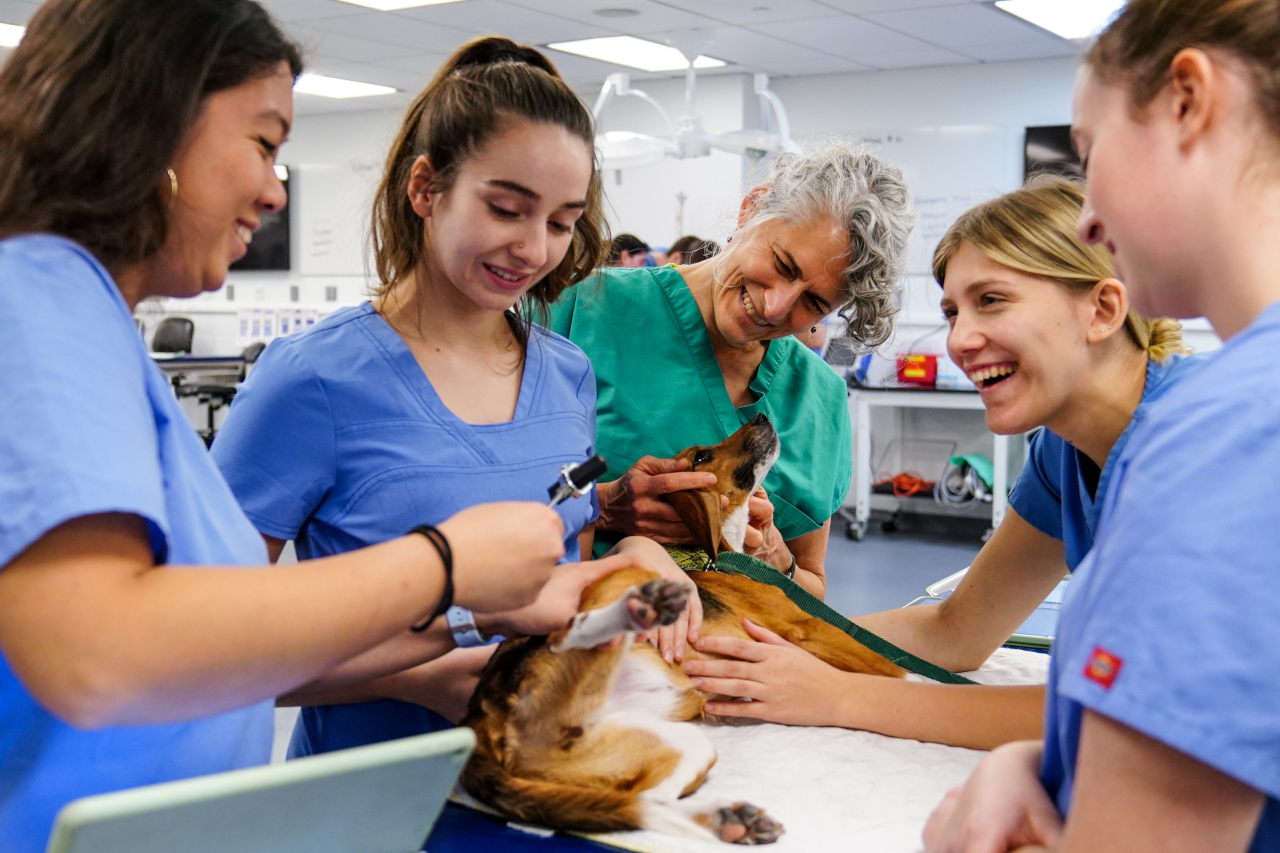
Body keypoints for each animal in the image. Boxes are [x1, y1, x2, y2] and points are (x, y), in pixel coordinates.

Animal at [458, 412, 901, 845]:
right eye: (701, 457)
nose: (760, 414)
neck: (716, 556)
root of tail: (480, 715)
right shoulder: (805, 626)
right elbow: (892, 667)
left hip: (661, 743)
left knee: (643, 801)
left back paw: (730, 819)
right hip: (615, 593)